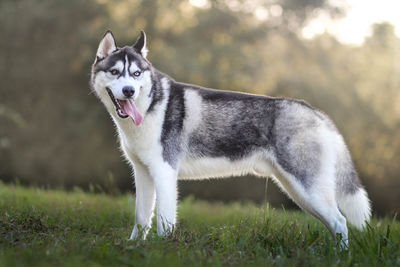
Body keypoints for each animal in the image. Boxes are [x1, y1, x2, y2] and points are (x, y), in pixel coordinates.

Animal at [89, 30, 370, 246]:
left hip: (307, 187)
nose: (129, 91)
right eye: (115, 72)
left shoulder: (164, 172)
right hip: (299, 191)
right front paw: (134, 247)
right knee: (334, 223)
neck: (149, 106)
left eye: (136, 74)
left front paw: (163, 248)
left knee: (340, 221)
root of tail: (317, 113)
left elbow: (164, 220)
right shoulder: (143, 173)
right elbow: (141, 218)